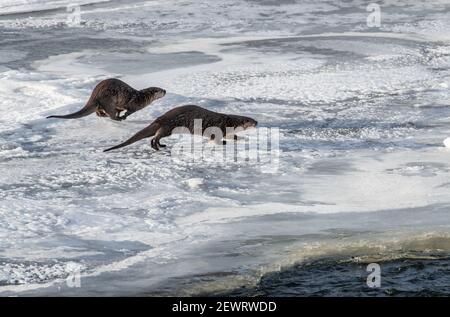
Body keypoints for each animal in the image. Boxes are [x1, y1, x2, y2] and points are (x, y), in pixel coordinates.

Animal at [102, 105, 256, 152]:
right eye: (252, 121)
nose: (257, 122)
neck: (229, 121)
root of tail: (160, 118)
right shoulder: (219, 128)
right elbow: (217, 138)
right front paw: (223, 143)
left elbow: (232, 136)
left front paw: (240, 138)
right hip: (169, 127)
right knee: (157, 135)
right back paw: (157, 146)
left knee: (155, 136)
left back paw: (159, 146)